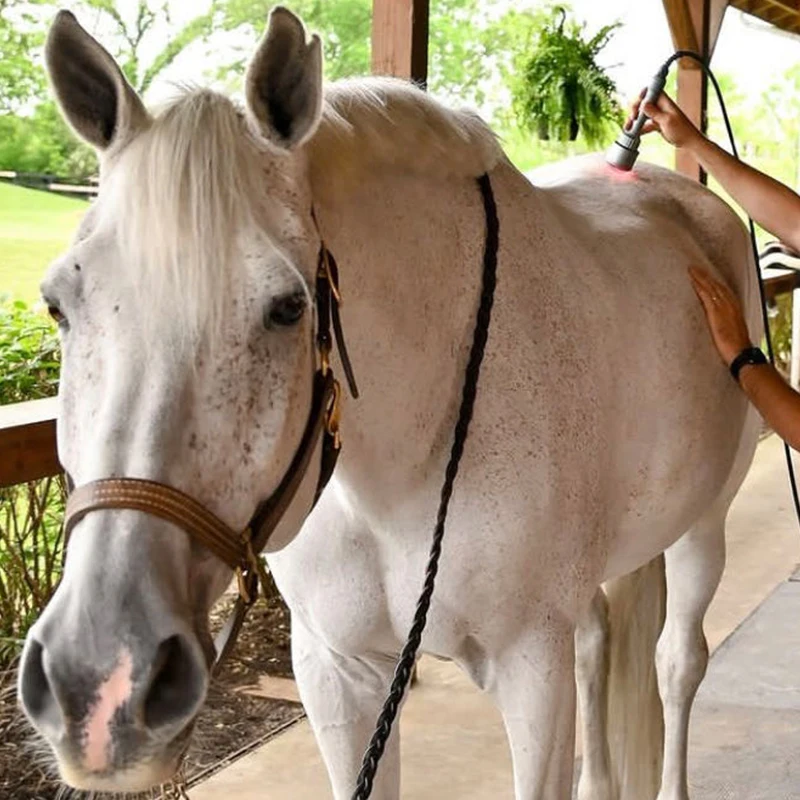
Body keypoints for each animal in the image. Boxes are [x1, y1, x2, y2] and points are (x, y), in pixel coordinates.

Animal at [18, 7, 761, 800]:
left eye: (287, 309)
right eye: (58, 304)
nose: (98, 686)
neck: (401, 464)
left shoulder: (532, 671)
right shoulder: (338, 670)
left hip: (700, 527)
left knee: (677, 662)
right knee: (598, 641)